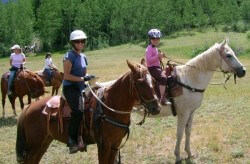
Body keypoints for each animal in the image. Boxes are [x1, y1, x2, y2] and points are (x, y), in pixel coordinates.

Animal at [16, 60, 160, 164]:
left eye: (153, 80)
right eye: (140, 82)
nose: (156, 107)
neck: (109, 107)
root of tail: (28, 108)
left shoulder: (115, 143)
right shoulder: (104, 144)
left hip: (44, 142)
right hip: (35, 144)